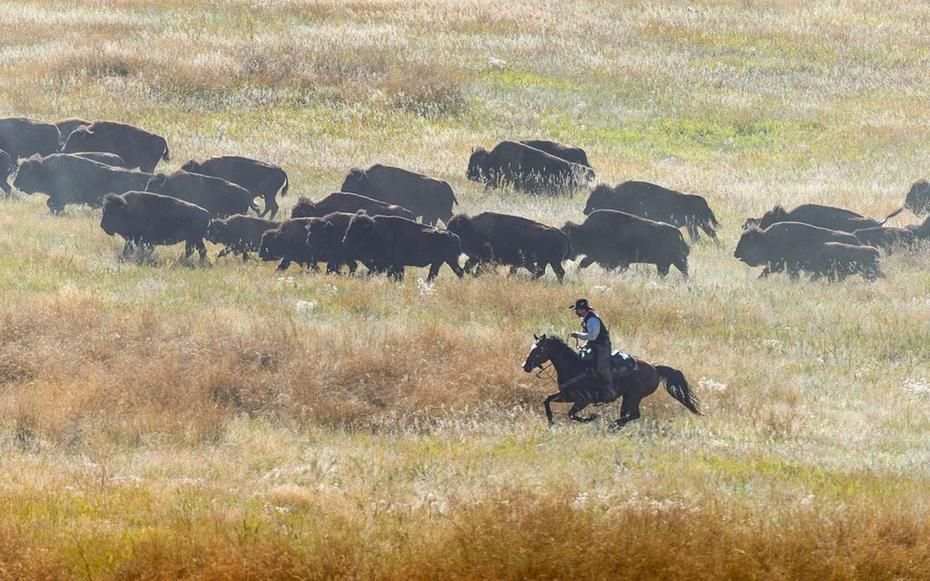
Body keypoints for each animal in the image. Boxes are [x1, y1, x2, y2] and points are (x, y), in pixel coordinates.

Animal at [14, 154, 150, 213]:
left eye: (25, 172)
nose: (15, 183)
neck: (45, 169)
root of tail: (132, 177)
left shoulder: (61, 196)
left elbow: (52, 202)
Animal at [520, 334, 700, 428]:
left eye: (539, 350)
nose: (525, 366)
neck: (574, 366)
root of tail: (655, 368)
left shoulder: (583, 400)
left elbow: (571, 414)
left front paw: (591, 417)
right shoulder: (566, 395)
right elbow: (547, 400)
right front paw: (550, 421)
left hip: (634, 396)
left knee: (633, 414)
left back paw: (613, 425)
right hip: (629, 397)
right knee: (630, 414)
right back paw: (616, 425)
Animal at [560, 210, 688, 278]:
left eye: (570, 239)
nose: (566, 255)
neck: (587, 232)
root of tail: (677, 231)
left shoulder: (616, 261)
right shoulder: (593, 257)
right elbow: (583, 263)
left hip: (673, 261)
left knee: (683, 270)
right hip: (666, 262)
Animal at [580, 181, 716, 240]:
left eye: (597, 197)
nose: (585, 210)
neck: (617, 195)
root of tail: (703, 201)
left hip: (700, 223)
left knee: (711, 233)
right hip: (692, 225)